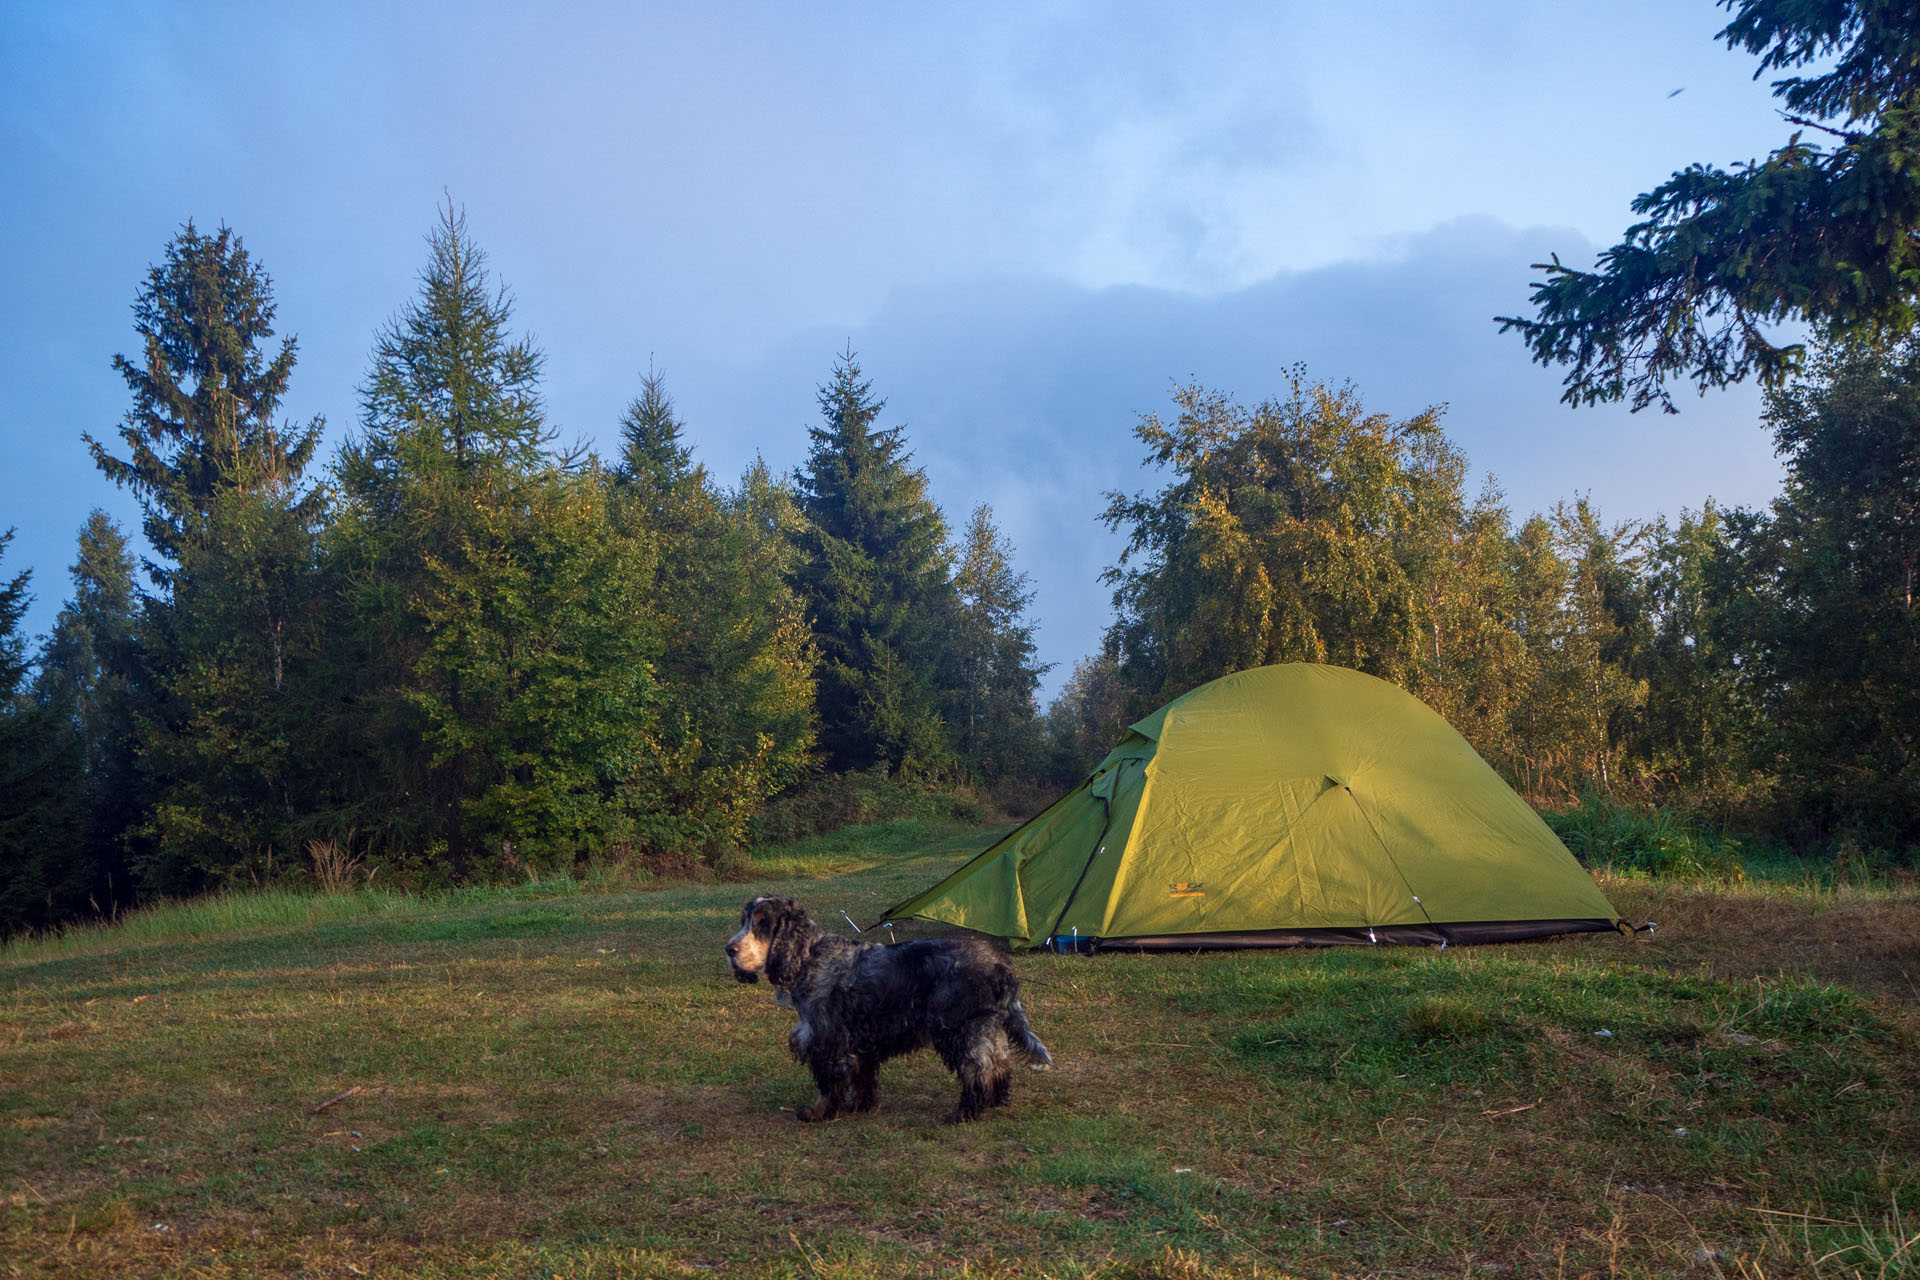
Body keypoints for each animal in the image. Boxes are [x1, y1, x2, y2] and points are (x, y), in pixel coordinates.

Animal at [721, 901, 1052, 1120]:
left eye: (763, 924)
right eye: (743, 921)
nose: (729, 949)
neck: (808, 956)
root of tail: (1001, 966)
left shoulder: (827, 1039)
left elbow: (828, 1083)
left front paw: (817, 1113)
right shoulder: (861, 1040)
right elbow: (863, 1078)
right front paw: (860, 1106)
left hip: (959, 1028)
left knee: (977, 1066)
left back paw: (966, 1112)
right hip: (987, 1024)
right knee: (1000, 1061)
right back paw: (995, 1100)